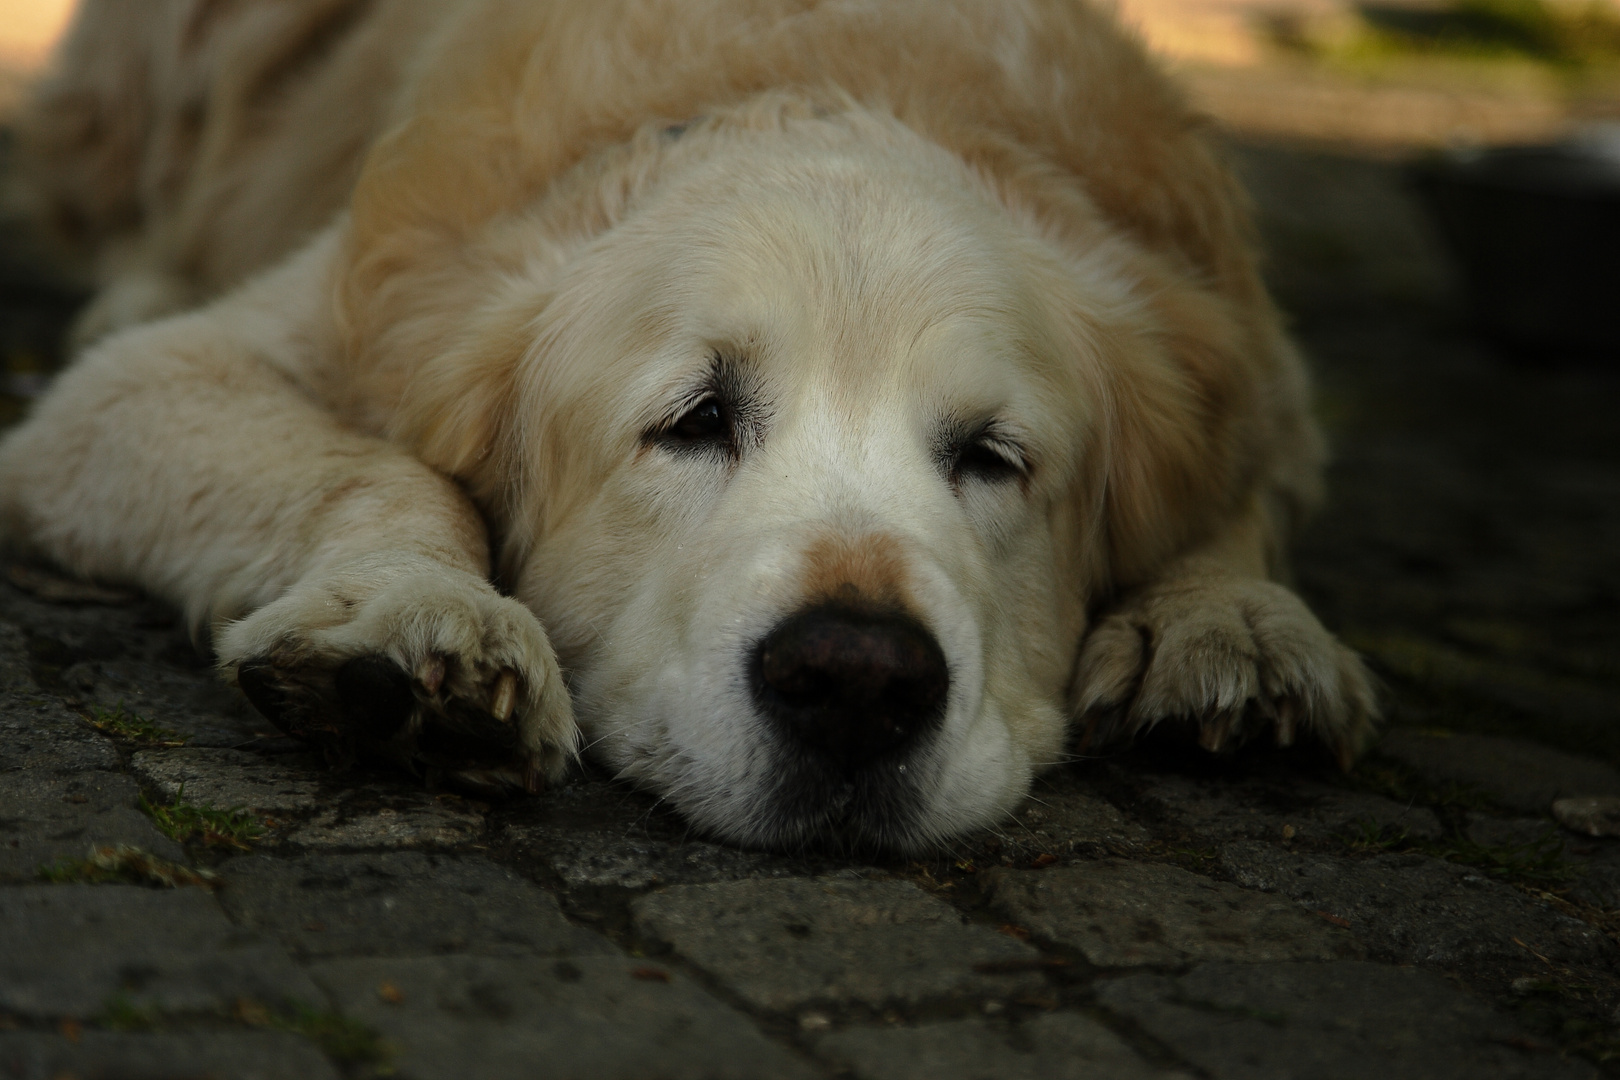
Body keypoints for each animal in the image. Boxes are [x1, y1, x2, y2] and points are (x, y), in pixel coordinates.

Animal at [0, 0, 1380, 854]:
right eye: (695, 420)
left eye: (992, 457)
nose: (857, 679)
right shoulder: (174, 378)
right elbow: (387, 468)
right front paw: (416, 614)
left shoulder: (1251, 369)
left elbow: (1240, 498)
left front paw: (1232, 623)